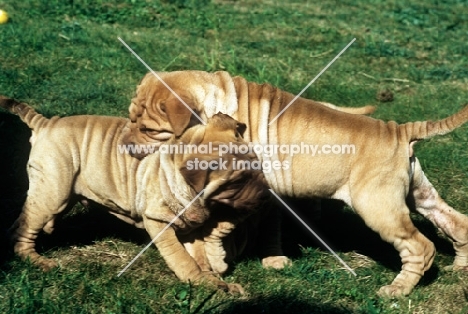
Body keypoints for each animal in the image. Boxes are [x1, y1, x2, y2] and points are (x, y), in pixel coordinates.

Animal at [0, 96, 286, 294]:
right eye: (237, 182)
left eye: (258, 165)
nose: (267, 195)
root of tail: (46, 122)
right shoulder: (159, 223)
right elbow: (183, 258)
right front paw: (200, 280)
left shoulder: (192, 228)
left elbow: (200, 256)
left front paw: (213, 280)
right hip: (54, 191)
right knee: (20, 229)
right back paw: (37, 260)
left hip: (60, 190)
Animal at [122, 70, 468, 296]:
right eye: (130, 117)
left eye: (150, 130)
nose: (124, 144)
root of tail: (399, 130)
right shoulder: (270, 194)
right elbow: (268, 227)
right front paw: (273, 259)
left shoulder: (245, 191)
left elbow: (219, 226)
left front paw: (216, 258)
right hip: (419, 195)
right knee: (457, 223)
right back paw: (460, 268)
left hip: (378, 207)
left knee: (420, 246)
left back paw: (398, 289)